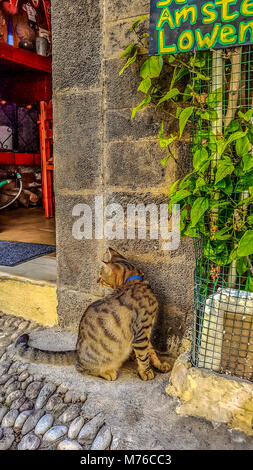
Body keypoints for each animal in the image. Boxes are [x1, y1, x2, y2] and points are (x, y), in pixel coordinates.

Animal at [15, 248, 170, 380]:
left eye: (101, 277)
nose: (96, 280)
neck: (135, 281)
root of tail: (77, 352)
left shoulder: (145, 332)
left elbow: (151, 351)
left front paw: (159, 365)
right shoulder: (141, 332)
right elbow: (143, 356)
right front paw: (146, 372)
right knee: (81, 368)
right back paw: (107, 372)